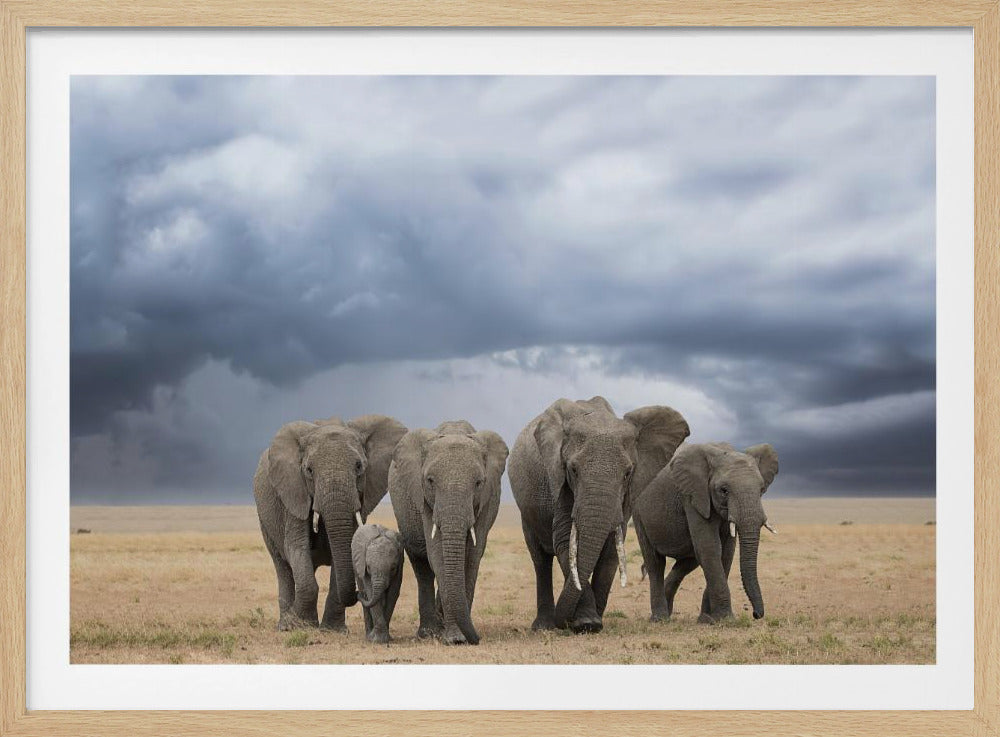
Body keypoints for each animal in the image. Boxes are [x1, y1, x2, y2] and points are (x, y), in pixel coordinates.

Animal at [252, 414, 408, 631]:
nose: (359, 594)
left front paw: (333, 630)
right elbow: (296, 547)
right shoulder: (293, 492)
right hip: (265, 520)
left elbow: (347, 548)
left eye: (359, 467)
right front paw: (299, 625)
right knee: (282, 566)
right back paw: (285, 625)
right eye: (309, 470)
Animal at [389, 420, 508, 645]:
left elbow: (472, 557)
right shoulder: (426, 501)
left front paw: (458, 637)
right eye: (430, 481)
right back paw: (428, 633)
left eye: (478, 483)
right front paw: (455, 639)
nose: (477, 638)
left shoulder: (486, 500)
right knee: (421, 565)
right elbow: (438, 555)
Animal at [509, 396, 689, 633]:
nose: (563, 622)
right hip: (527, 511)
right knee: (540, 560)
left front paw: (593, 620)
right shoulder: (558, 482)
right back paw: (543, 627)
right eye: (573, 470)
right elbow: (566, 541)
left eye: (627, 473)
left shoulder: (626, 495)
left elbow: (611, 547)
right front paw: (587, 623)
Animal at [631, 442, 779, 623]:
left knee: (688, 562)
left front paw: (708, 620)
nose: (756, 614)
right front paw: (726, 619)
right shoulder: (693, 496)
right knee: (655, 563)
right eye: (724, 490)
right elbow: (710, 548)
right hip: (638, 514)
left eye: (762, 489)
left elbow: (726, 553)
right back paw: (660, 618)